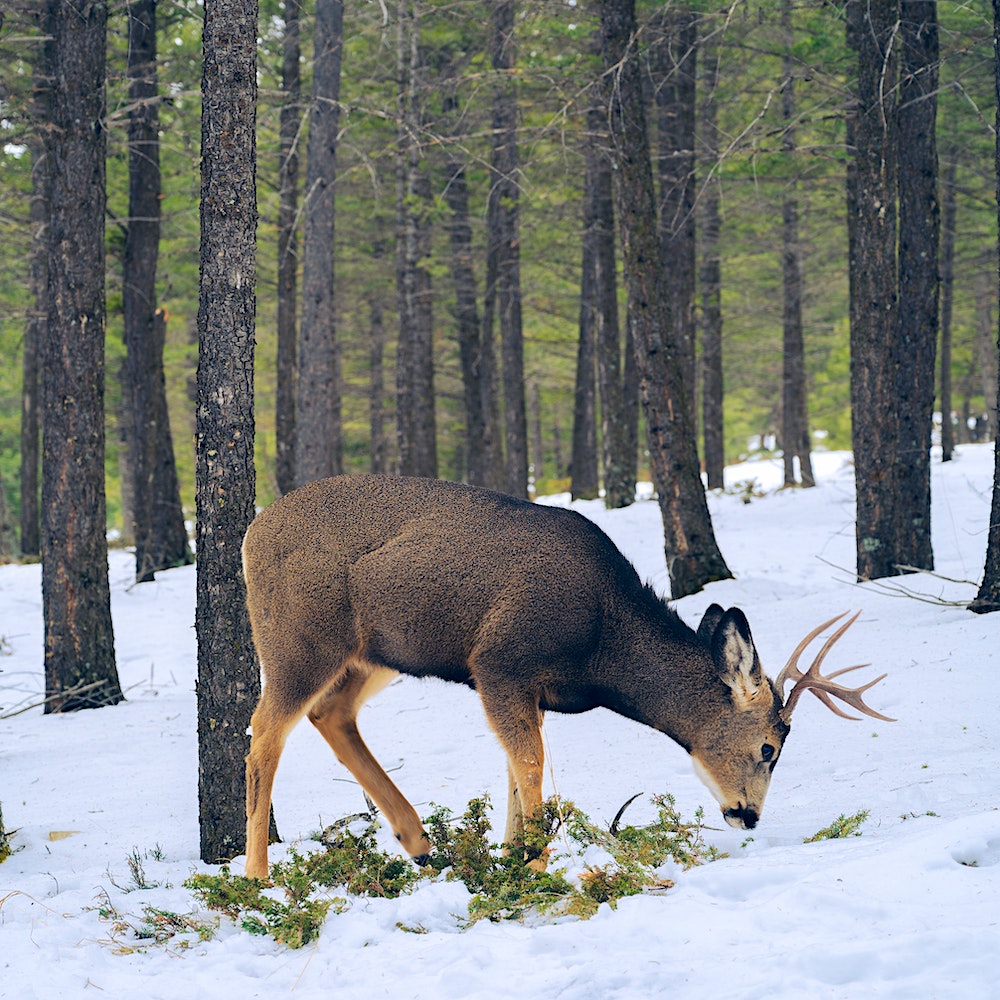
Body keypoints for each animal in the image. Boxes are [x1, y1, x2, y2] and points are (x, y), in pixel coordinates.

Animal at [241, 474, 893, 880]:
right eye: (768, 747)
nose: (747, 815)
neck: (601, 646)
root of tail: (250, 536)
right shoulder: (500, 660)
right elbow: (532, 770)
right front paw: (533, 866)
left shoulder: (517, 686)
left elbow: (513, 771)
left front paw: (510, 859)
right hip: (300, 637)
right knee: (265, 732)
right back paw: (256, 875)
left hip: (374, 654)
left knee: (330, 714)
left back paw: (420, 842)